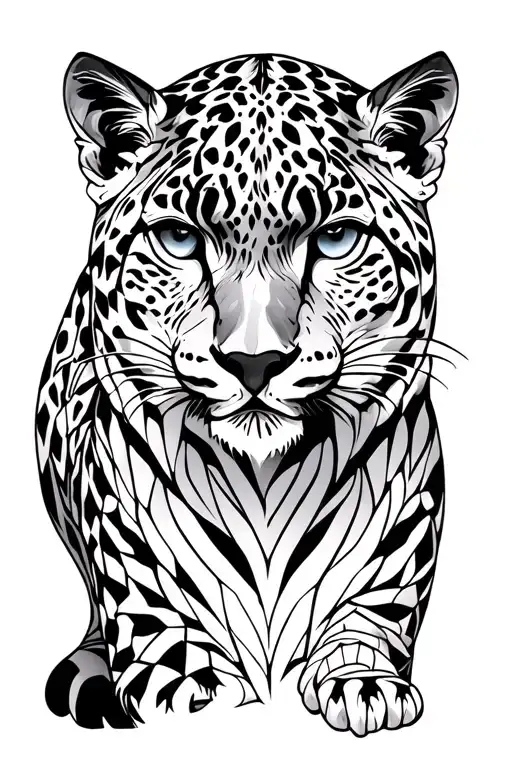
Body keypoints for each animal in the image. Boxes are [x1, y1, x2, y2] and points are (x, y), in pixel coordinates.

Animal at [36, 50, 458, 735]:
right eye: (180, 239)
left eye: (335, 239)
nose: (253, 362)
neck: (265, 488)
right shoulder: (155, 612)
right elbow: (186, 675)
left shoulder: (393, 562)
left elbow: (365, 625)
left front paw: (363, 684)